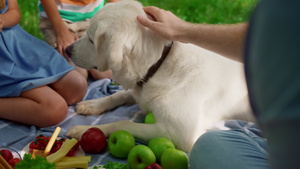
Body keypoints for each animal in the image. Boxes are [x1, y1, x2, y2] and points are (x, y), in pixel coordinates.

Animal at [65, 0, 253, 152]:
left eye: (91, 39)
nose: (66, 49)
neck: (160, 64)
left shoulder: (180, 134)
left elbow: (124, 123)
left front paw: (83, 130)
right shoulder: (141, 91)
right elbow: (119, 95)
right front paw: (92, 104)